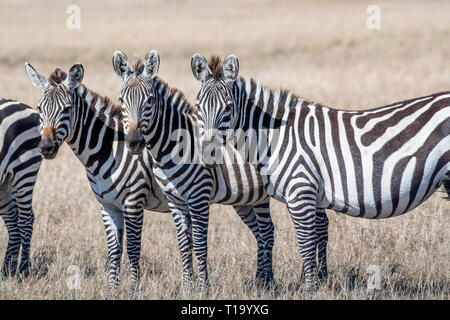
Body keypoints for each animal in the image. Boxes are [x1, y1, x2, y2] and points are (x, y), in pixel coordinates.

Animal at [25, 62, 172, 298]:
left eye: (66, 109)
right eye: (39, 109)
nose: (46, 148)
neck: (109, 150)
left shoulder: (134, 202)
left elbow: (133, 249)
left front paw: (133, 292)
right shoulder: (107, 205)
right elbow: (114, 250)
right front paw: (111, 291)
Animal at [111, 49, 274, 290]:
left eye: (149, 100)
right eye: (121, 100)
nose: (133, 142)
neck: (172, 149)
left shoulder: (199, 199)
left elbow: (199, 243)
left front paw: (204, 288)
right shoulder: (175, 201)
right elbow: (183, 243)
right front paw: (188, 286)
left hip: (265, 194)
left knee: (269, 230)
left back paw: (274, 280)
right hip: (245, 198)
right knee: (263, 232)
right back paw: (263, 280)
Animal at [190, 54, 450, 290]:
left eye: (228, 108)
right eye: (198, 107)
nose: (208, 153)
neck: (276, 137)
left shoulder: (300, 191)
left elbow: (305, 242)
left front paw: (311, 289)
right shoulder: (308, 195)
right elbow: (312, 238)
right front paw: (315, 282)